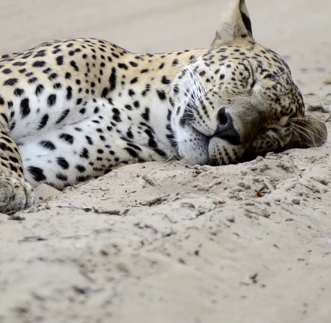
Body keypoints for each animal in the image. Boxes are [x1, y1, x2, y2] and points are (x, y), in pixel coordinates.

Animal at [0, 0, 328, 214]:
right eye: (250, 75)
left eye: (273, 131)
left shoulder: (51, 154)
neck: (142, 111)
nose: (230, 128)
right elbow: (5, 143)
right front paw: (9, 186)